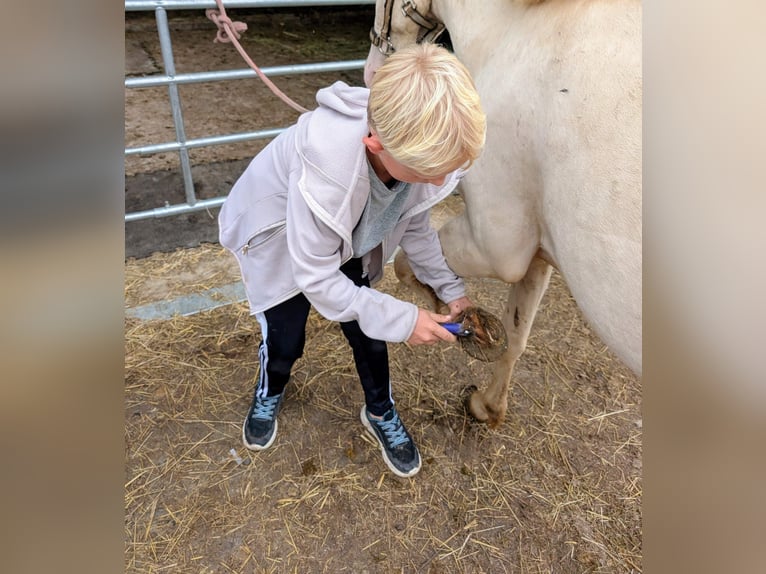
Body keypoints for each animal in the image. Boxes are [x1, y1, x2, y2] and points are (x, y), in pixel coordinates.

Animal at [364, 0, 642, 427]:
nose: (370, 71)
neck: (515, 33)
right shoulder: (536, 253)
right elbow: (515, 335)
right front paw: (488, 405)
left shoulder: (495, 247)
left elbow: (410, 265)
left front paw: (440, 301)